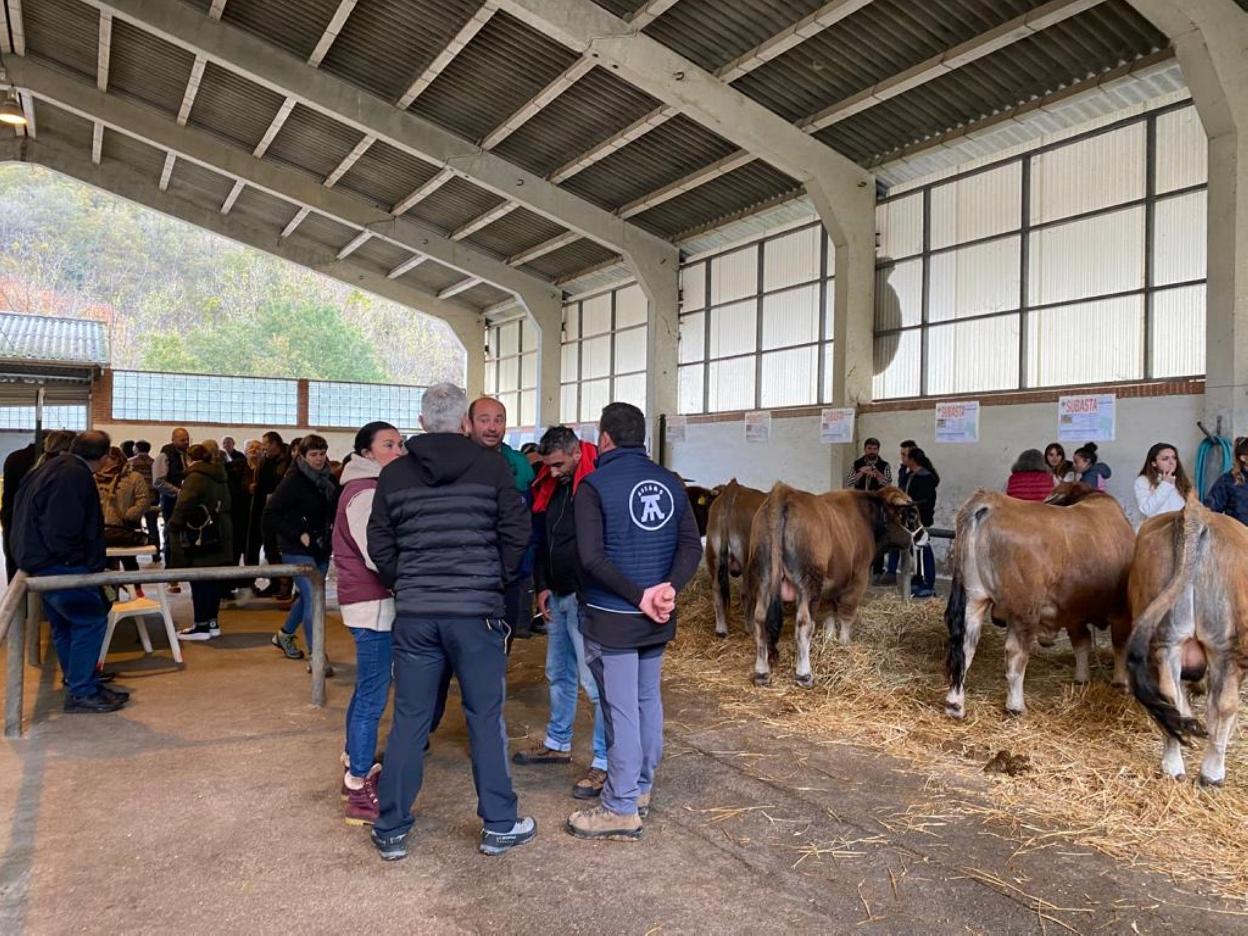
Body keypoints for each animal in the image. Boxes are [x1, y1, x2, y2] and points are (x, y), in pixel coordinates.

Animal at [703, 484, 768, 638]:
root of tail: (732, 488)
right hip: (747, 559)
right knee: (745, 592)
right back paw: (750, 628)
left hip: (713, 553)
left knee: (717, 588)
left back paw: (721, 629)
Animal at [743, 484, 923, 688]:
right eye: (909, 515)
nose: (919, 537)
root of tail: (784, 492)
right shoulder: (858, 578)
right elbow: (846, 613)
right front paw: (844, 642)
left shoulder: (831, 585)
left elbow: (829, 612)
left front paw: (829, 638)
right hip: (808, 583)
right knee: (804, 624)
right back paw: (804, 674)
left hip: (763, 578)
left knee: (760, 620)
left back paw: (762, 672)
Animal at [938, 486, 1138, 723]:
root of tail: (989, 503)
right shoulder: (1120, 611)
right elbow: (1120, 645)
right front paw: (1120, 681)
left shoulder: (1073, 612)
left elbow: (1082, 642)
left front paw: (1082, 678)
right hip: (1024, 610)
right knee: (1015, 654)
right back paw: (1015, 705)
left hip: (973, 598)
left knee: (964, 648)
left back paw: (955, 704)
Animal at [1128, 501, 1243, 788]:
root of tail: (1194, 511)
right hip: (1226, 645)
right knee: (1225, 705)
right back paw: (1212, 773)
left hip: (1166, 640)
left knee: (1170, 696)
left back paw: (1173, 765)